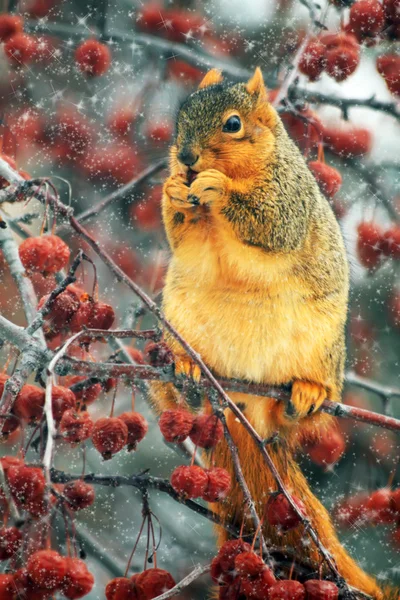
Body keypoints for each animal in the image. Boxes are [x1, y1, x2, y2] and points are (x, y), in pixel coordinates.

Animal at [149, 68, 384, 596]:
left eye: (233, 124)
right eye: (181, 114)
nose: (186, 157)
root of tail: (246, 407)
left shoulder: (287, 196)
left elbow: (269, 222)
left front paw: (216, 188)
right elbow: (179, 232)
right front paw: (173, 190)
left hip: (323, 350)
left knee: (297, 417)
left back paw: (306, 395)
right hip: (175, 322)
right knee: (182, 396)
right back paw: (186, 373)